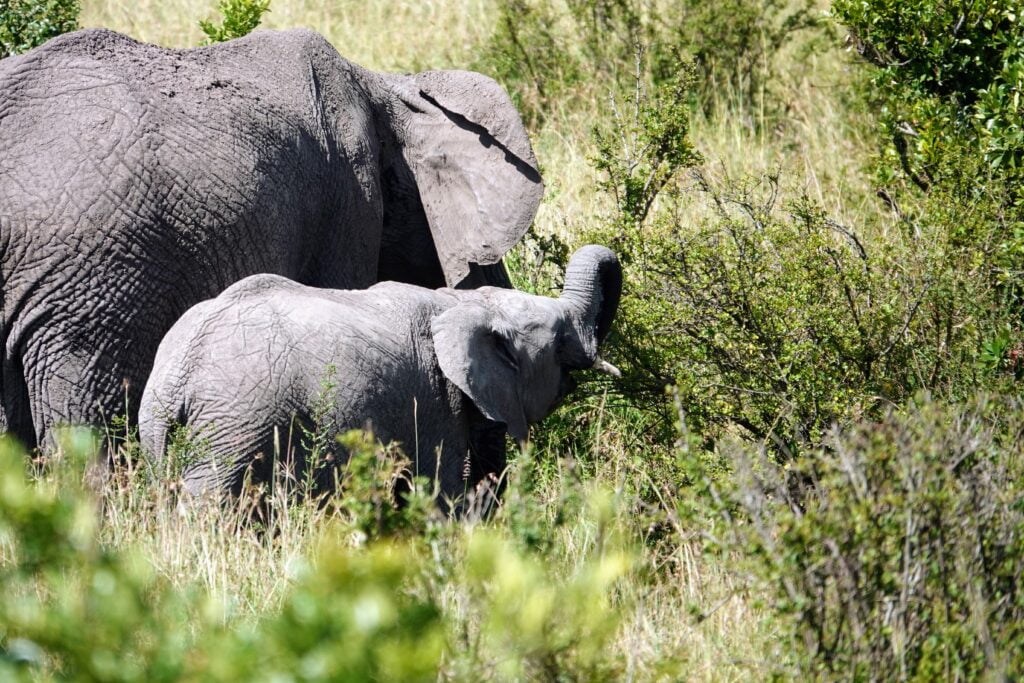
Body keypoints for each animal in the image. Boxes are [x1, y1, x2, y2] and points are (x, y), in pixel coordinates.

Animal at [139, 245, 618, 507]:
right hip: (234, 432)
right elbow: (439, 495)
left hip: (163, 433)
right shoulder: (436, 404)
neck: (466, 304)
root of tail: (180, 374)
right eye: (559, 341)